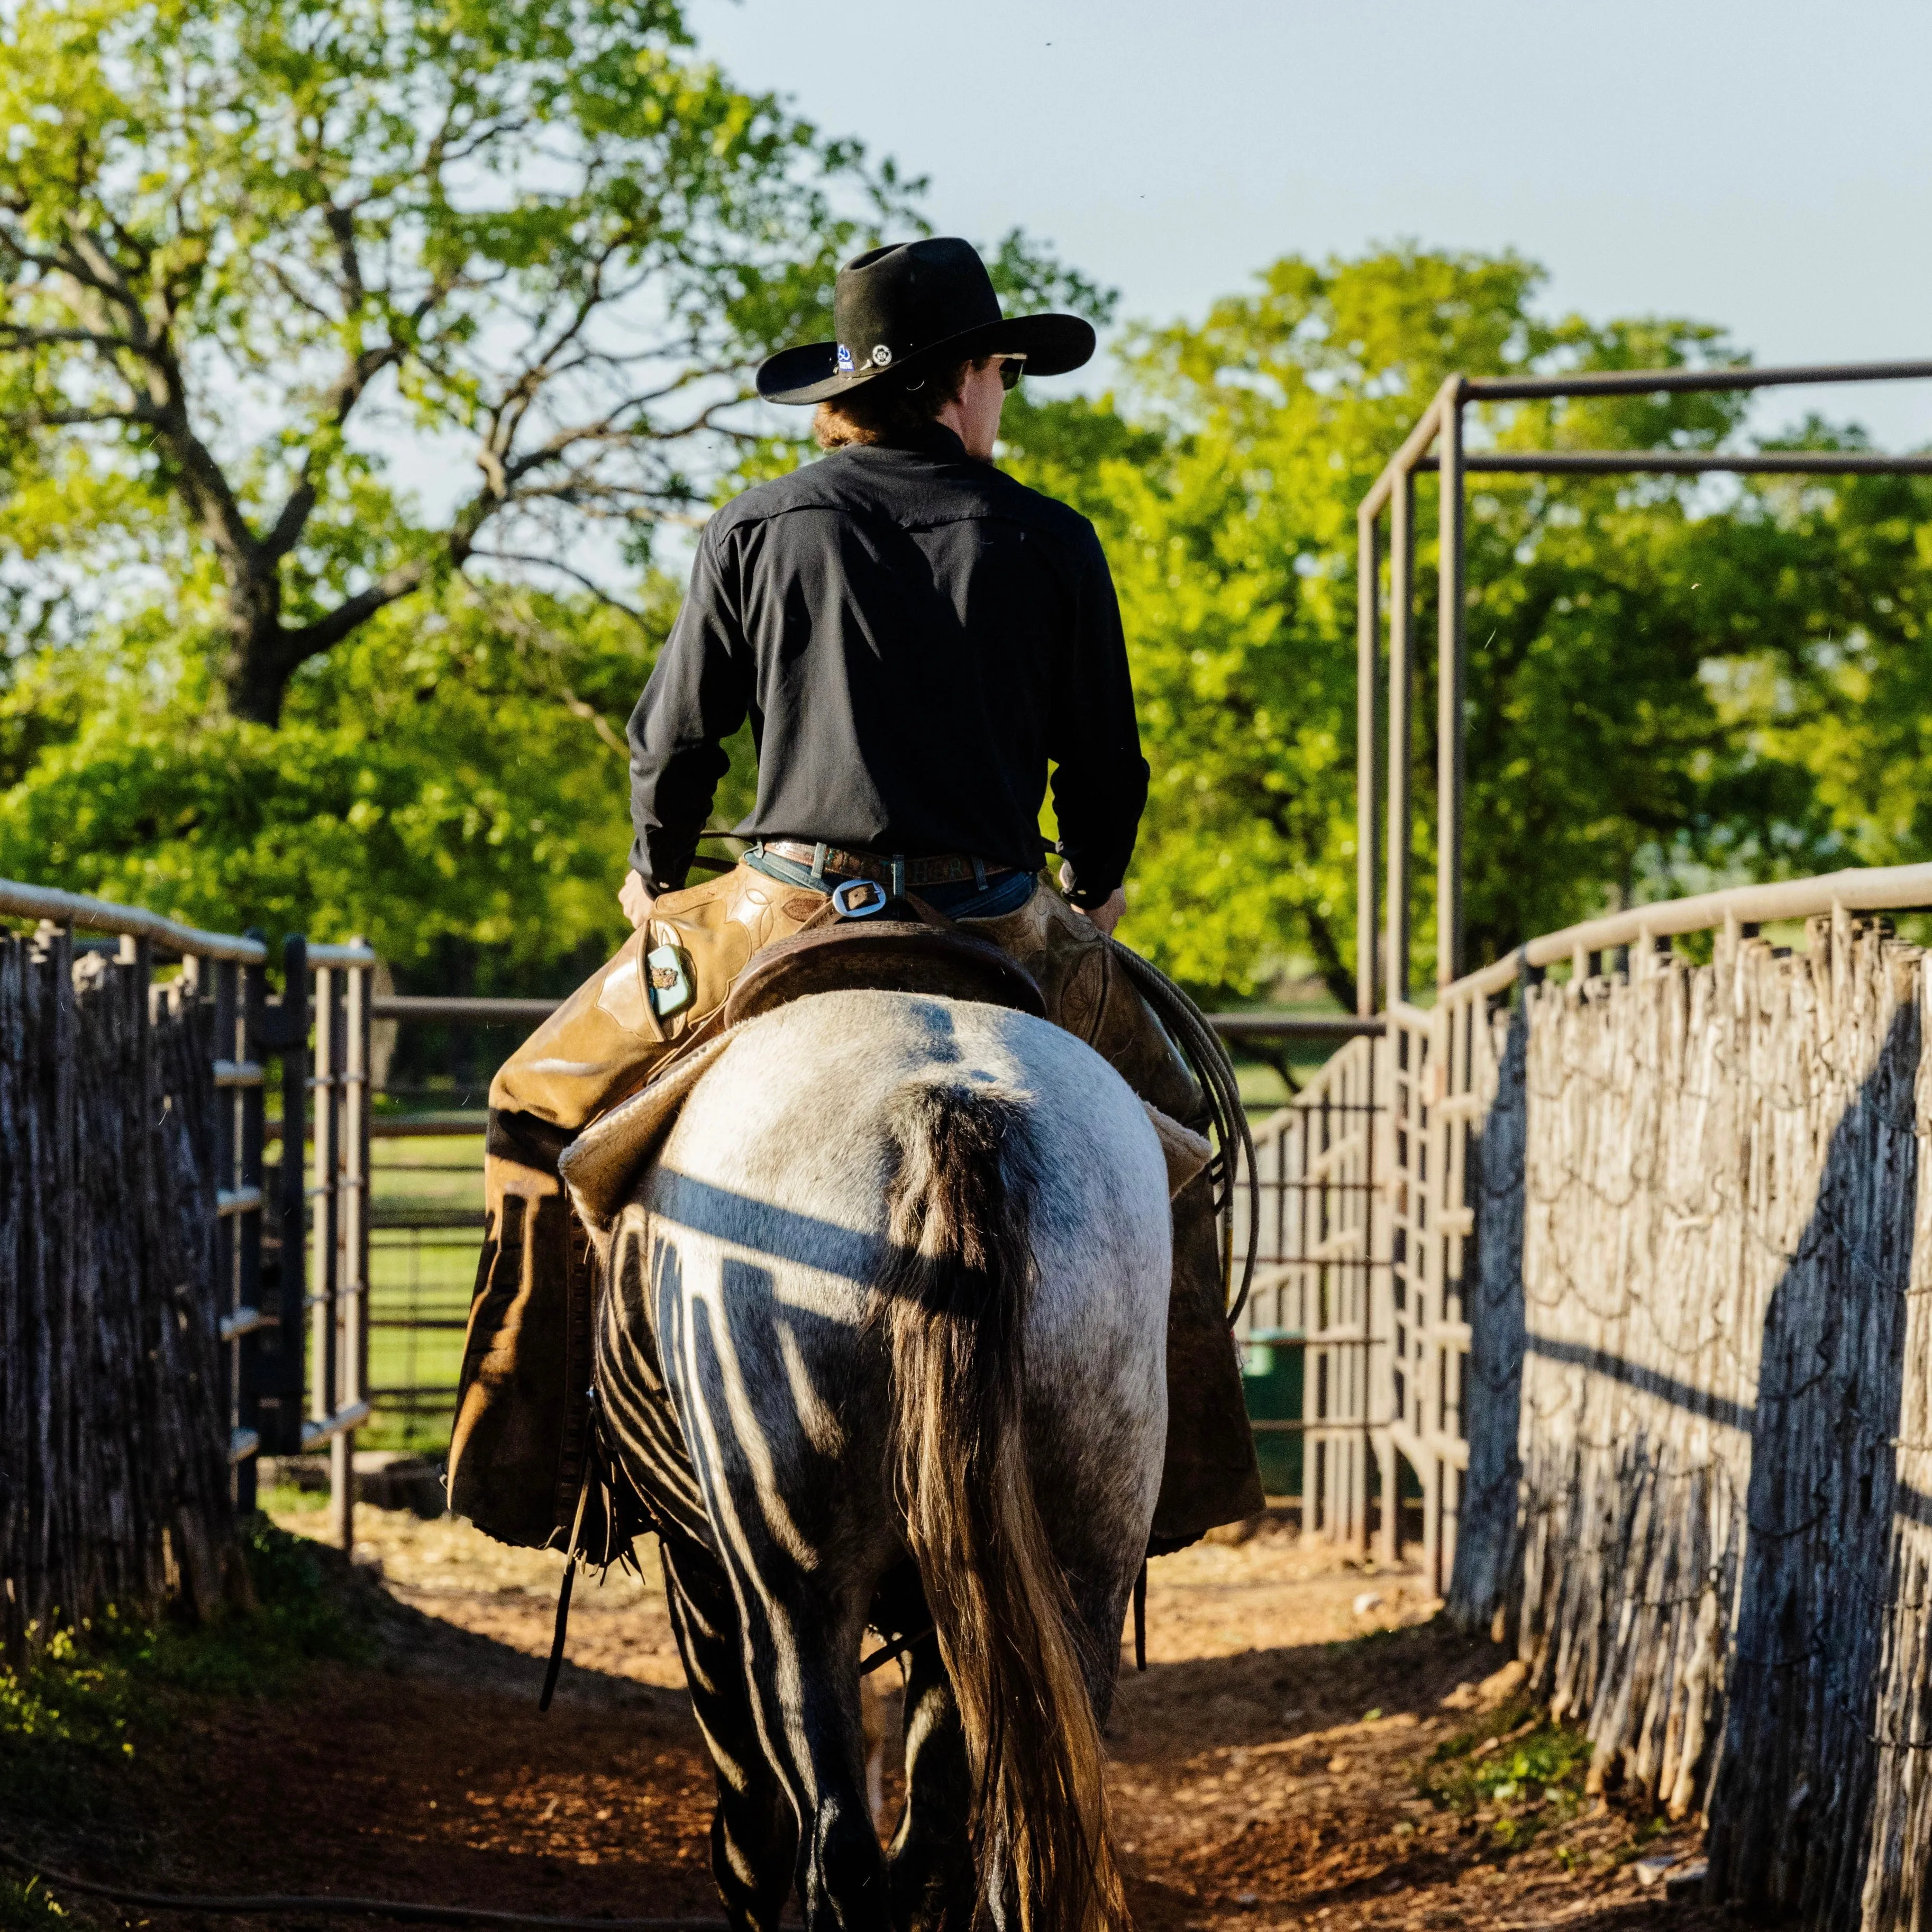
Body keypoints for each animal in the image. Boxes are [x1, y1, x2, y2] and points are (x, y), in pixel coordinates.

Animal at [579, 997, 1167, 1932]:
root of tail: (946, 1103)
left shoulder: (697, 1569)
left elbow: (751, 1831)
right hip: (1079, 1575)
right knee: (984, 1853)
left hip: (792, 1591)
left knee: (833, 1846)